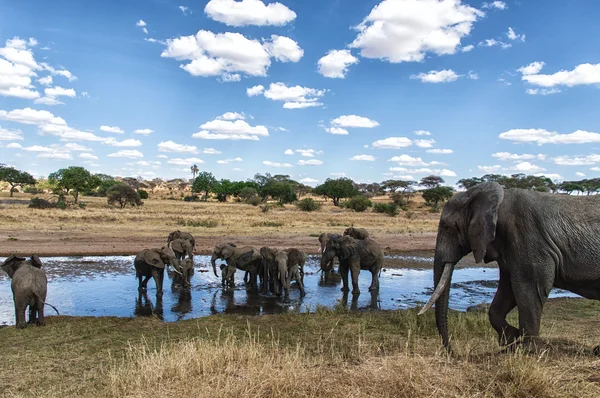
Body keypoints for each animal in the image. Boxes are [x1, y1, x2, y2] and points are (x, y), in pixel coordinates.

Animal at [418, 181, 600, 352]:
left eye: (449, 227)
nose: (452, 351)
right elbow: (507, 290)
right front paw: (510, 339)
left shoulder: (526, 236)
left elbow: (530, 288)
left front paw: (530, 350)